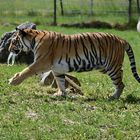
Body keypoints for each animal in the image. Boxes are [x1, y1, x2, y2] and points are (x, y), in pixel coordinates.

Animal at [7, 28, 140, 98]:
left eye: (13, 41)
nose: (8, 49)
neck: (34, 40)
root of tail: (121, 39)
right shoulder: (57, 69)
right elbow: (60, 81)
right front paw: (60, 93)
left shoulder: (41, 62)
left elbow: (27, 70)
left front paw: (13, 81)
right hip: (105, 67)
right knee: (121, 75)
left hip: (111, 66)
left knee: (120, 83)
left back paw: (113, 97)